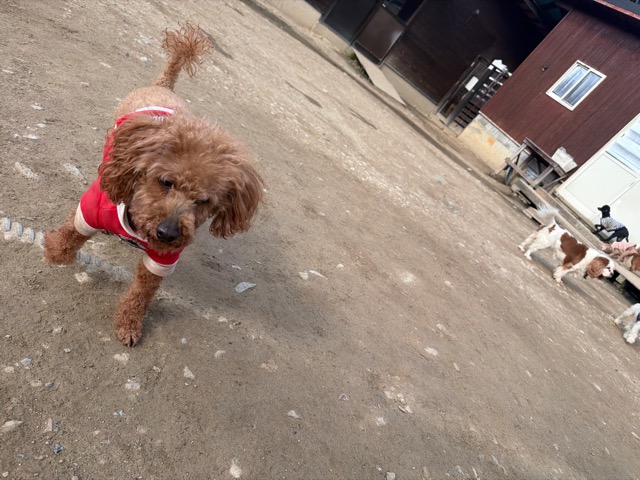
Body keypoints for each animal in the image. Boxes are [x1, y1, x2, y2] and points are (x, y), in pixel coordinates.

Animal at [44, 24, 264, 346]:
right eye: (165, 182)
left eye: (204, 201)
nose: (168, 233)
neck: (139, 225)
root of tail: (165, 87)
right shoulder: (92, 209)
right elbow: (69, 238)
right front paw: (54, 251)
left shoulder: (163, 257)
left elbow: (142, 291)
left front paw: (130, 323)